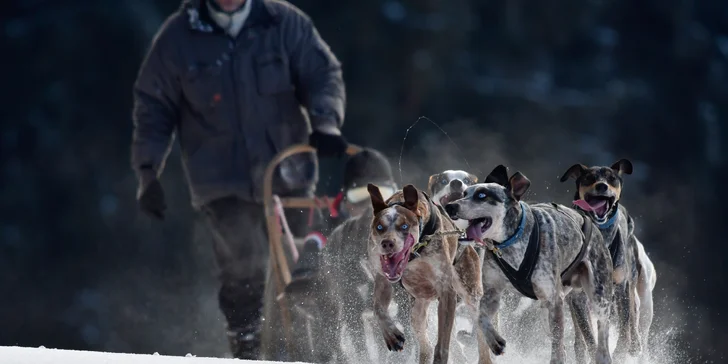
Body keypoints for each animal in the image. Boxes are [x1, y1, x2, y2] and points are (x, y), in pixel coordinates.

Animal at [366, 185, 486, 364]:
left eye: (404, 226)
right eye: (380, 227)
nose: (386, 243)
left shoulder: (446, 292)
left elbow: (442, 344)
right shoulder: (382, 279)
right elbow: (378, 309)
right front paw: (392, 335)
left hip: (470, 293)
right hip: (417, 310)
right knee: (425, 345)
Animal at [444, 164, 616, 364]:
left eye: (481, 195)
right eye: (465, 193)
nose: (450, 206)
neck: (511, 240)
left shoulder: (554, 299)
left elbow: (558, 345)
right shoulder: (492, 292)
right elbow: (481, 317)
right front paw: (495, 342)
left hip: (598, 296)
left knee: (601, 333)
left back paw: (602, 355)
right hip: (546, 312)